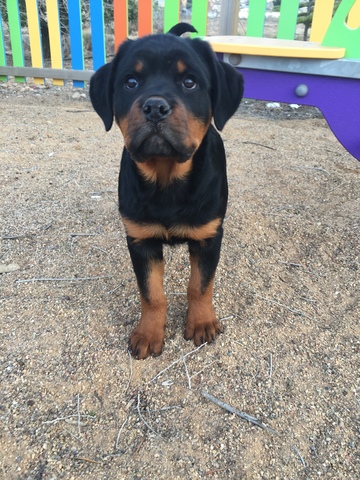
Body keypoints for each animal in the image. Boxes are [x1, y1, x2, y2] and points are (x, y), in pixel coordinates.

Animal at [89, 23, 245, 360]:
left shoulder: (208, 236)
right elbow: (151, 293)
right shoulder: (140, 239)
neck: (166, 180)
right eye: (131, 82)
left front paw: (202, 323)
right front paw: (148, 333)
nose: (155, 107)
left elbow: (200, 285)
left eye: (189, 82)